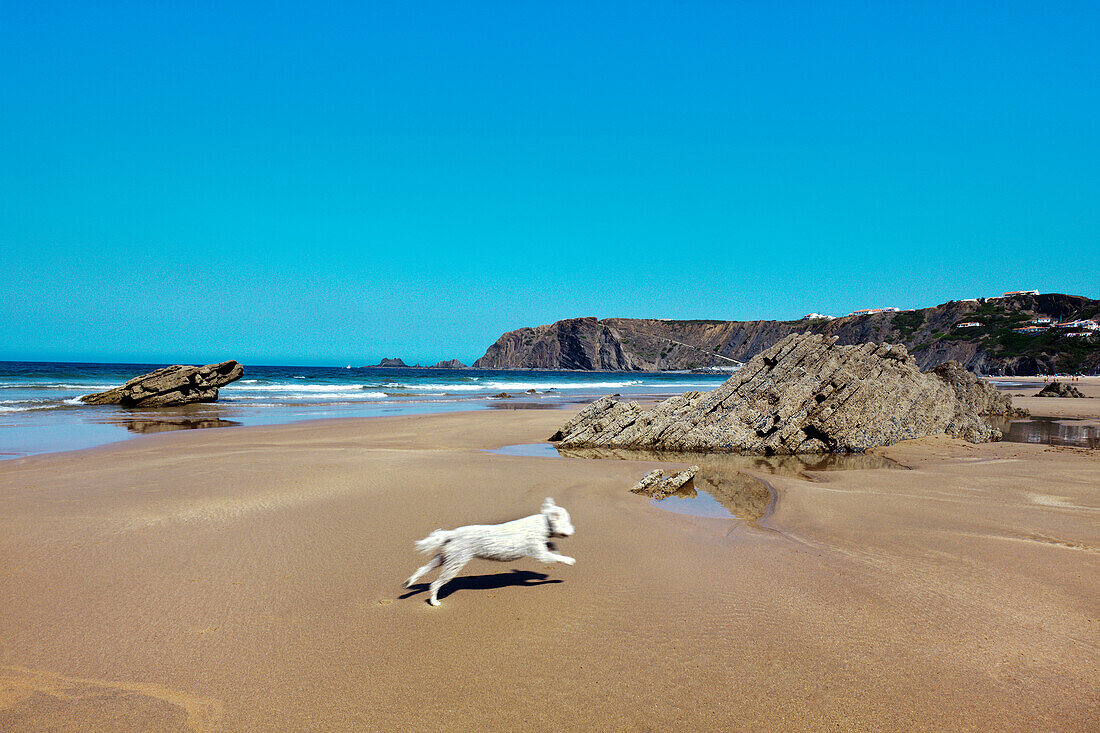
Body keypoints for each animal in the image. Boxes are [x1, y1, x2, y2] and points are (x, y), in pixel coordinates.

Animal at [404, 497, 576, 603]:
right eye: (568, 521)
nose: (573, 531)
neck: (544, 523)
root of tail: (452, 534)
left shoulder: (542, 545)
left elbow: (552, 547)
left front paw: (556, 550)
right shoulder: (539, 553)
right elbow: (554, 557)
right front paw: (569, 560)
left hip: (444, 558)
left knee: (422, 569)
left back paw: (409, 582)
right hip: (455, 563)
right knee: (435, 584)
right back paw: (434, 601)